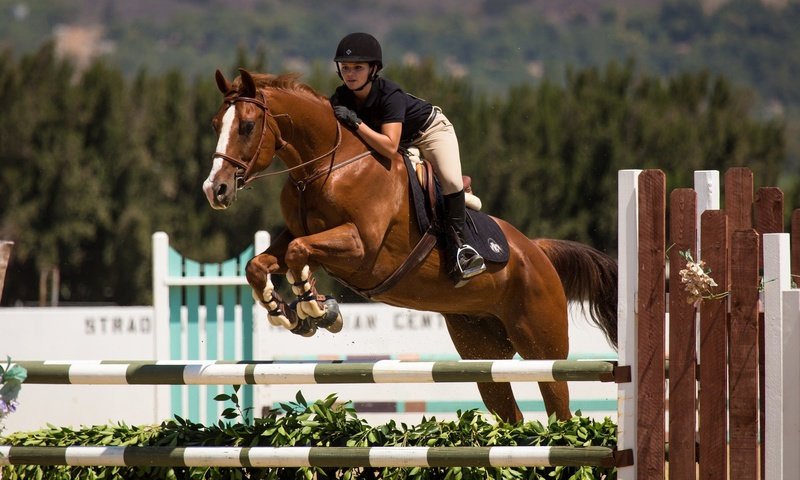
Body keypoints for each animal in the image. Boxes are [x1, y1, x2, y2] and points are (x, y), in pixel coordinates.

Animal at [203, 69, 616, 422]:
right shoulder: (299, 235)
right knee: (510, 413)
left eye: (247, 126)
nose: (215, 189)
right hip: (482, 351)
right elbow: (262, 264)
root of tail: (536, 252)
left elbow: (298, 253)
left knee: (559, 407)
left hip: (542, 347)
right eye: (215, 125)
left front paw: (316, 309)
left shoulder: (361, 247)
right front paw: (289, 312)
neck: (326, 167)